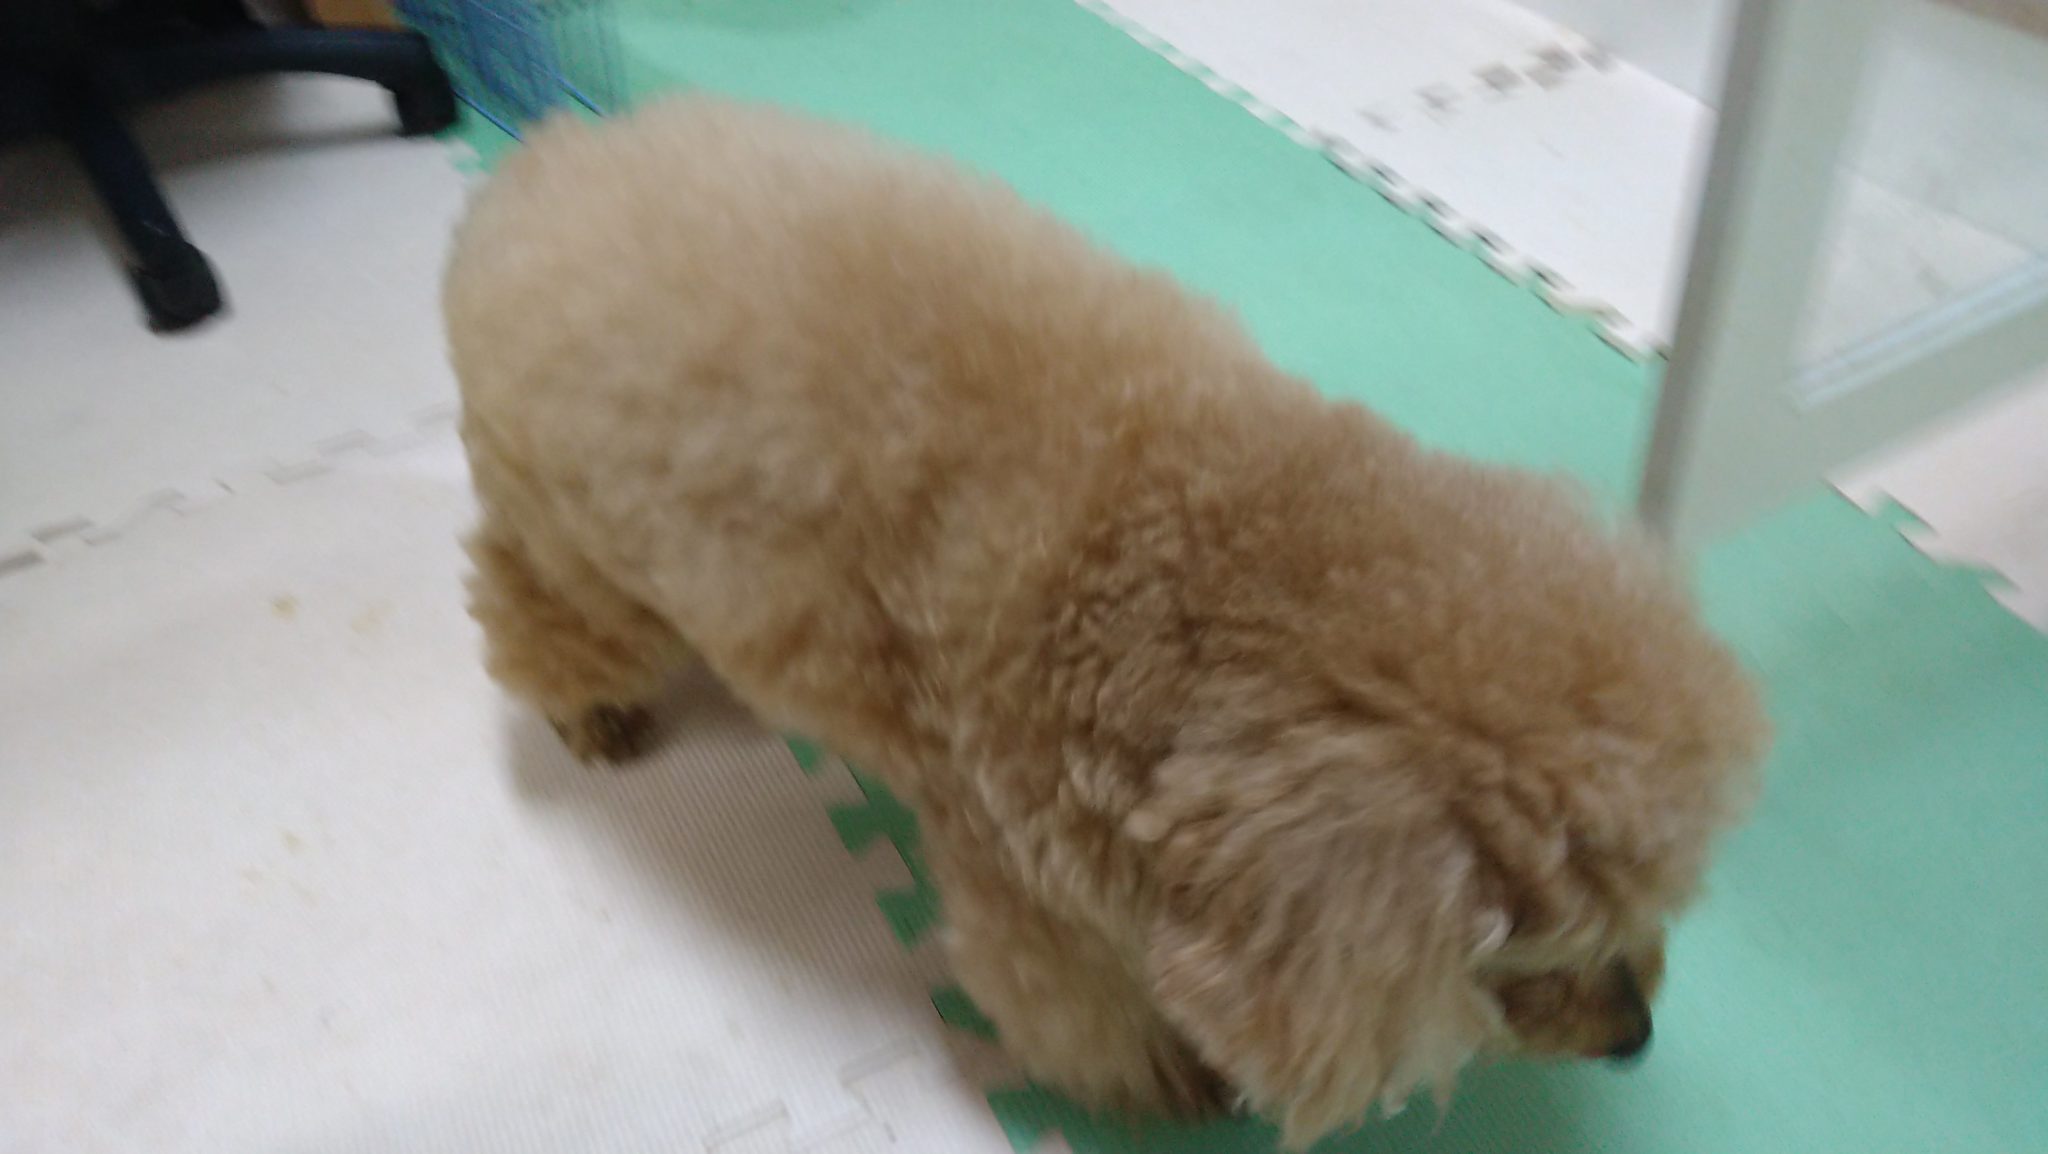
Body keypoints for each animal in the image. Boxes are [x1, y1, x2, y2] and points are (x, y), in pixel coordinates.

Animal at [446, 98, 1769, 1147]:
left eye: (1646, 916)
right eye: (1524, 956)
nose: (1634, 1031)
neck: (1205, 560)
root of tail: (535, 164)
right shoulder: (1024, 876)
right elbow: (1075, 1005)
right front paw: (1171, 1073)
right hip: (572, 541)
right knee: (527, 602)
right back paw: (591, 709)